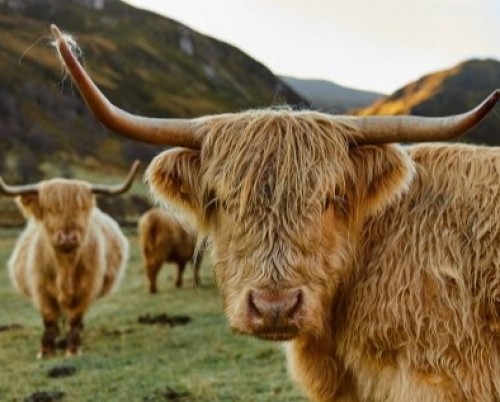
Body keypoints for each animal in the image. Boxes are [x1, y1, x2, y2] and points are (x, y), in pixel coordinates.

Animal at [2, 162, 139, 360]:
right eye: (49, 209)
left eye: (81, 208)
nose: (67, 237)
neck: (64, 267)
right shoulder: (41, 289)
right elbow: (49, 318)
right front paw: (46, 351)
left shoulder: (87, 288)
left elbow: (75, 318)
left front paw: (73, 349)